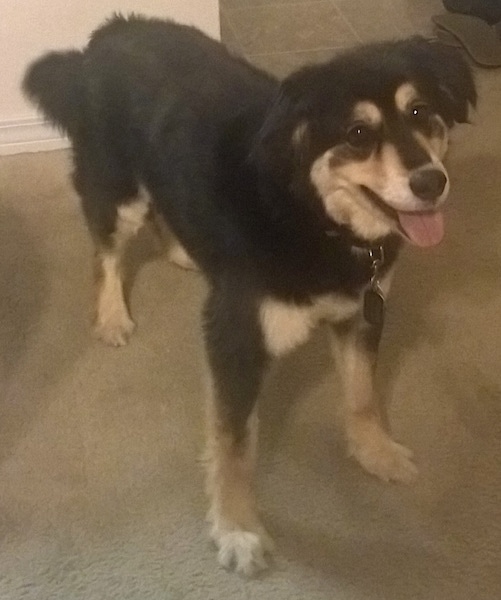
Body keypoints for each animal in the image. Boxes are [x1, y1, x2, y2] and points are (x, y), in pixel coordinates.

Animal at [23, 14, 474, 576]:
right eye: (357, 134)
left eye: (421, 112)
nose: (431, 182)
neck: (310, 214)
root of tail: (109, 31)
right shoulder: (236, 336)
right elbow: (234, 447)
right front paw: (238, 529)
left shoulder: (362, 312)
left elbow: (363, 393)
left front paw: (377, 452)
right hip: (116, 186)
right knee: (105, 248)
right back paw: (110, 314)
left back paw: (184, 252)